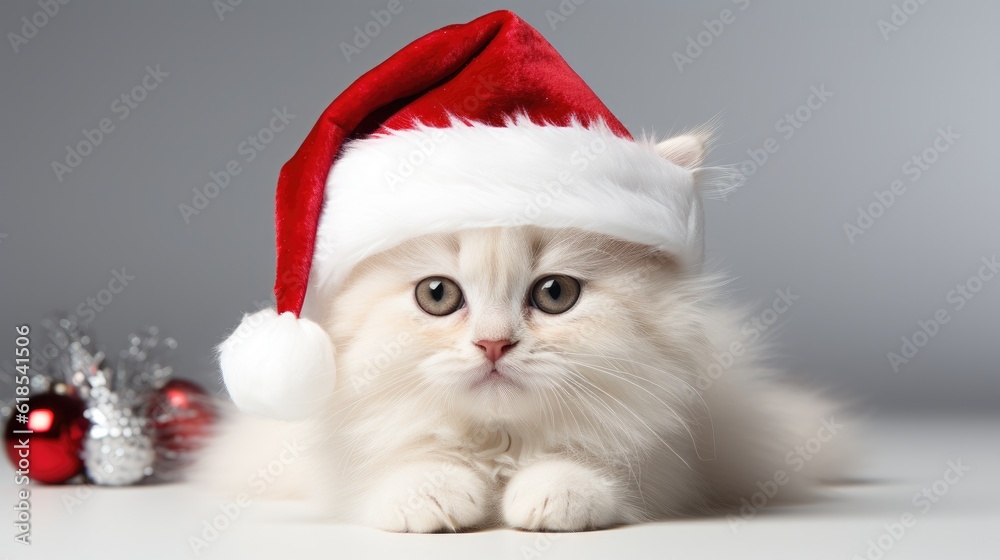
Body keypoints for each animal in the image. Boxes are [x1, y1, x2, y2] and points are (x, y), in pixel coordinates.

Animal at [201, 218, 844, 528]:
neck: (499, 442)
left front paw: (556, 493)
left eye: (555, 293)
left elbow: (588, 464)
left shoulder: (668, 459)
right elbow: (404, 460)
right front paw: (431, 494)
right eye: (437, 295)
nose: (493, 344)